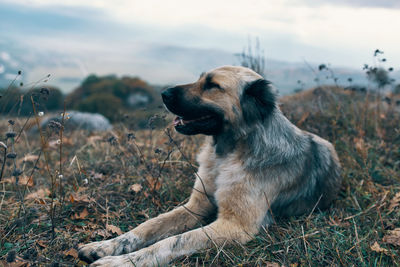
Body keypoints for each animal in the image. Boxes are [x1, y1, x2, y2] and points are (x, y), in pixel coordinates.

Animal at [78, 66, 340, 266]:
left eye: (213, 85)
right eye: (200, 78)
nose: (163, 93)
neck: (227, 153)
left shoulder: (235, 225)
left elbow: (173, 241)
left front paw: (123, 261)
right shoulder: (196, 206)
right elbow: (149, 225)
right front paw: (106, 246)